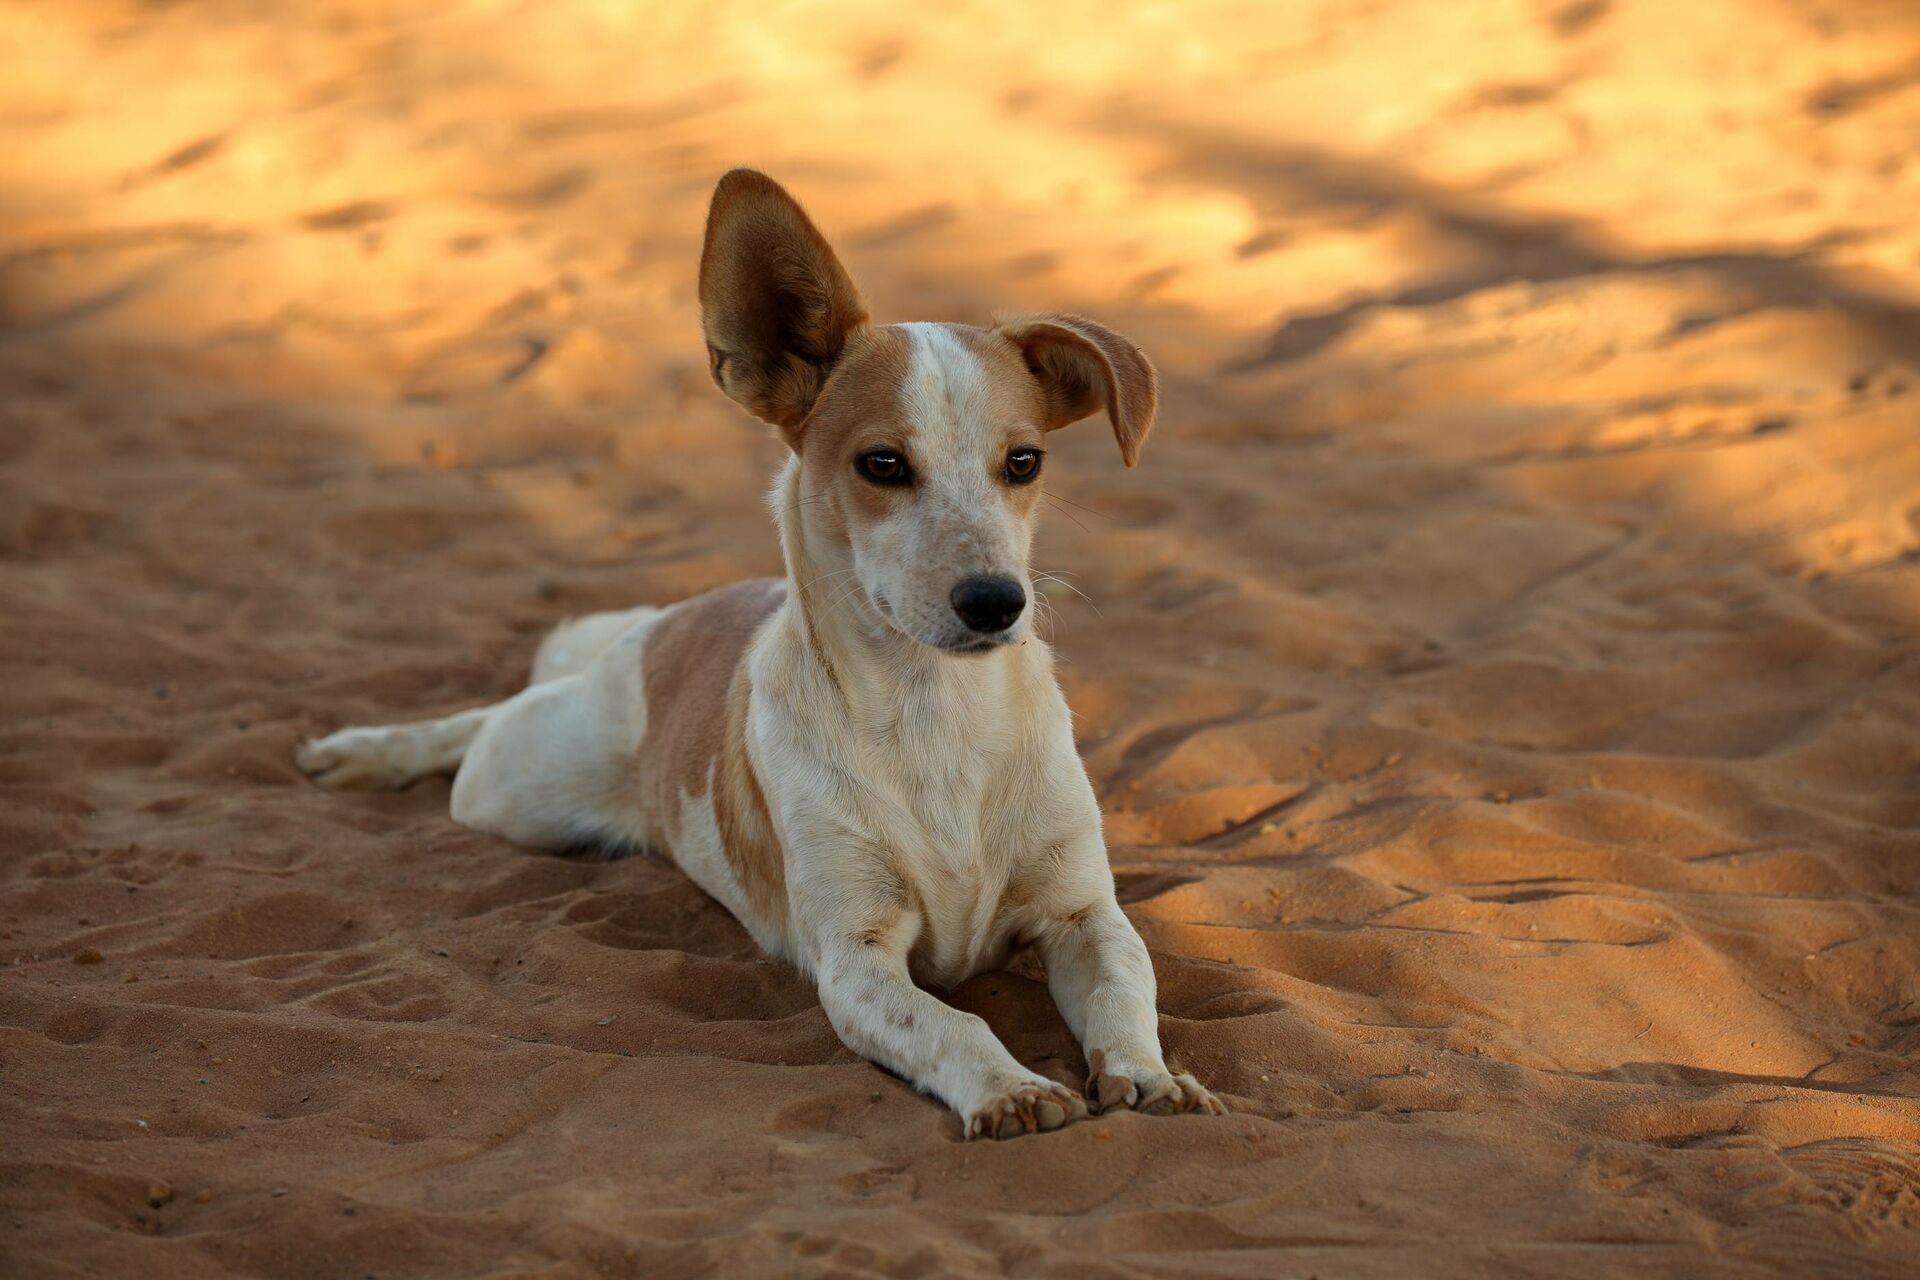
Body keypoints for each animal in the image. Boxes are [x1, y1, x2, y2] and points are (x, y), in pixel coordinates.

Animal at [299, 169, 1228, 1143]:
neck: (935, 713)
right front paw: (1011, 1088)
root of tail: (675, 618)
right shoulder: (856, 957)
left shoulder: (1084, 914)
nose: (996, 602)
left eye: (1024, 462)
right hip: (512, 791)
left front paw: (1153, 1078)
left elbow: (1127, 992)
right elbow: (952, 1023)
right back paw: (371, 751)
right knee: (484, 724)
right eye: (882, 464)